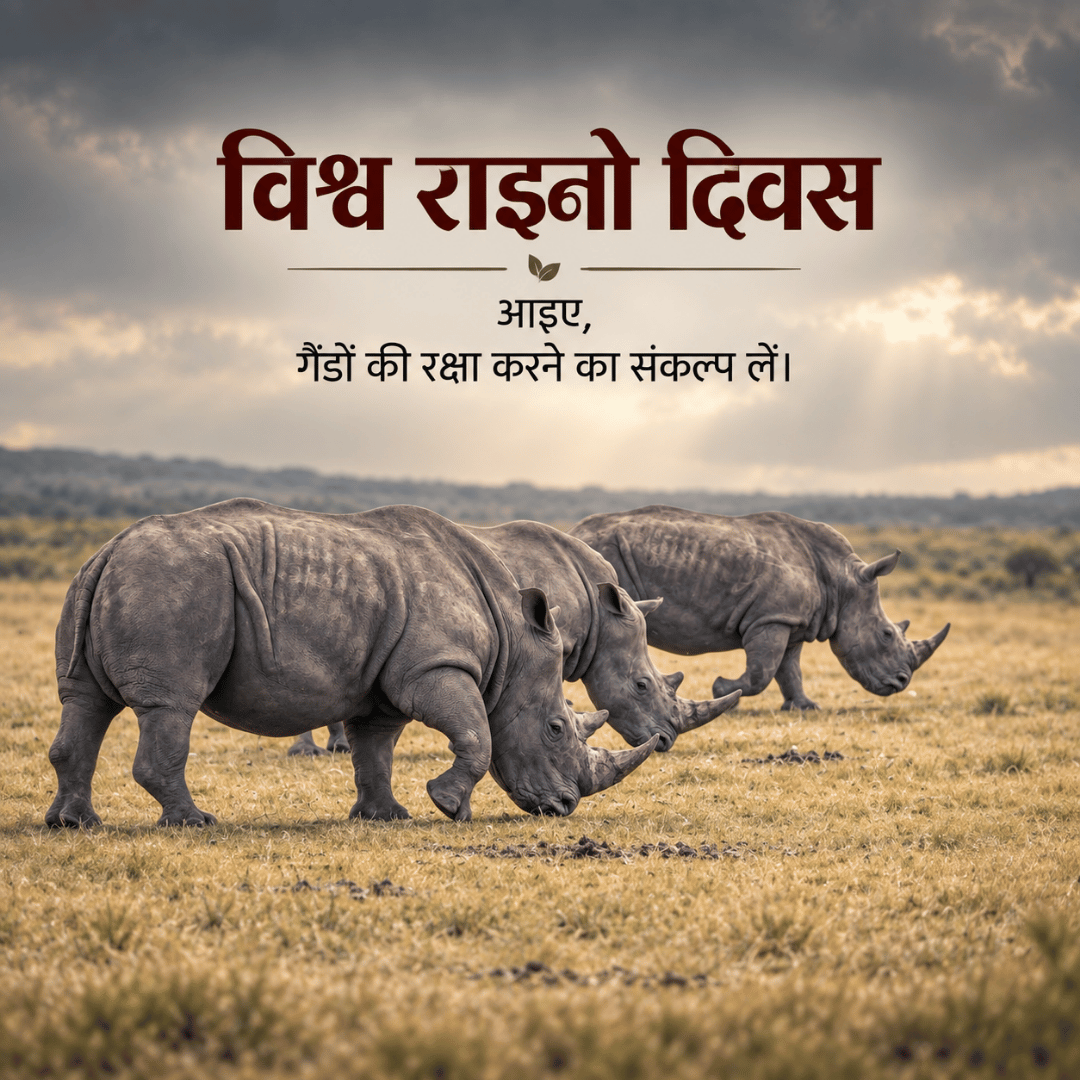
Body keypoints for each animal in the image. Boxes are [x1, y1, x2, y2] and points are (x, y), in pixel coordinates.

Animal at [46, 499, 657, 828]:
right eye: (556, 729)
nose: (564, 806)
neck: (510, 646)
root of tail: (109, 549)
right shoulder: (436, 666)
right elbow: (476, 735)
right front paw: (448, 806)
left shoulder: (385, 685)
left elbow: (376, 749)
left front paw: (385, 815)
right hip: (174, 583)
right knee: (171, 705)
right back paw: (194, 824)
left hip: (110, 581)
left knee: (85, 702)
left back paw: (75, 825)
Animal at [289, 520, 739, 756]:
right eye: (642, 686)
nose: (665, 740)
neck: (601, 615)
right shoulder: (556, 637)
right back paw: (308, 752)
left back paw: (336, 748)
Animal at [570, 506, 949, 714]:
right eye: (886, 635)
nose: (901, 683)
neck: (843, 581)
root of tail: (574, 530)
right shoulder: (770, 618)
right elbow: (761, 672)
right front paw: (722, 690)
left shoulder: (792, 622)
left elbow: (789, 670)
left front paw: (805, 707)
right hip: (605, 557)